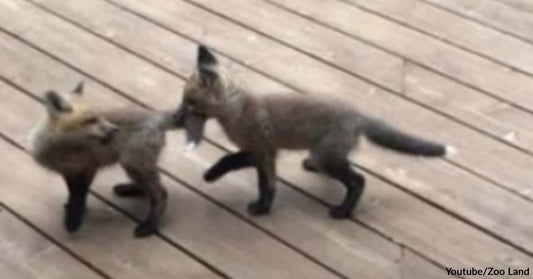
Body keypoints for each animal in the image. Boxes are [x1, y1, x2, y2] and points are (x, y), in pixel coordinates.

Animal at [29, 82, 184, 237]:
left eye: (100, 117)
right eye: (91, 120)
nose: (115, 129)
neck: (62, 150)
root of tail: (154, 115)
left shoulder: (88, 167)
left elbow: (79, 195)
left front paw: (74, 219)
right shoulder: (68, 171)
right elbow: (72, 191)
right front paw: (72, 208)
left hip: (133, 163)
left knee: (161, 194)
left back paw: (150, 225)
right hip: (133, 165)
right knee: (147, 188)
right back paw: (130, 189)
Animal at [179, 46, 454, 220]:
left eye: (190, 102)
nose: (178, 115)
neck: (239, 111)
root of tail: (357, 114)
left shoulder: (260, 151)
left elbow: (232, 161)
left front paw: (212, 176)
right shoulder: (266, 156)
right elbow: (266, 185)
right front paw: (263, 206)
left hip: (328, 158)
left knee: (358, 181)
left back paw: (343, 212)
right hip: (326, 155)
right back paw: (312, 167)